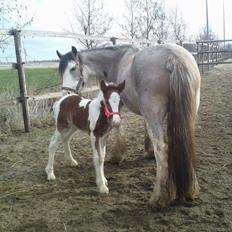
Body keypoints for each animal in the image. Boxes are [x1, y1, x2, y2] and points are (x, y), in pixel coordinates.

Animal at [56, 43, 201, 208]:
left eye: (73, 68)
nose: (66, 95)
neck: (117, 61)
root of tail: (174, 57)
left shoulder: (119, 106)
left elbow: (119, 128)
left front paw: (117, 156)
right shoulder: (145, 115)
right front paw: (147, 151)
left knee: (162, 151)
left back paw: (158, 197)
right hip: (188, 114)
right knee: (187, 143)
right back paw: (190, 190)